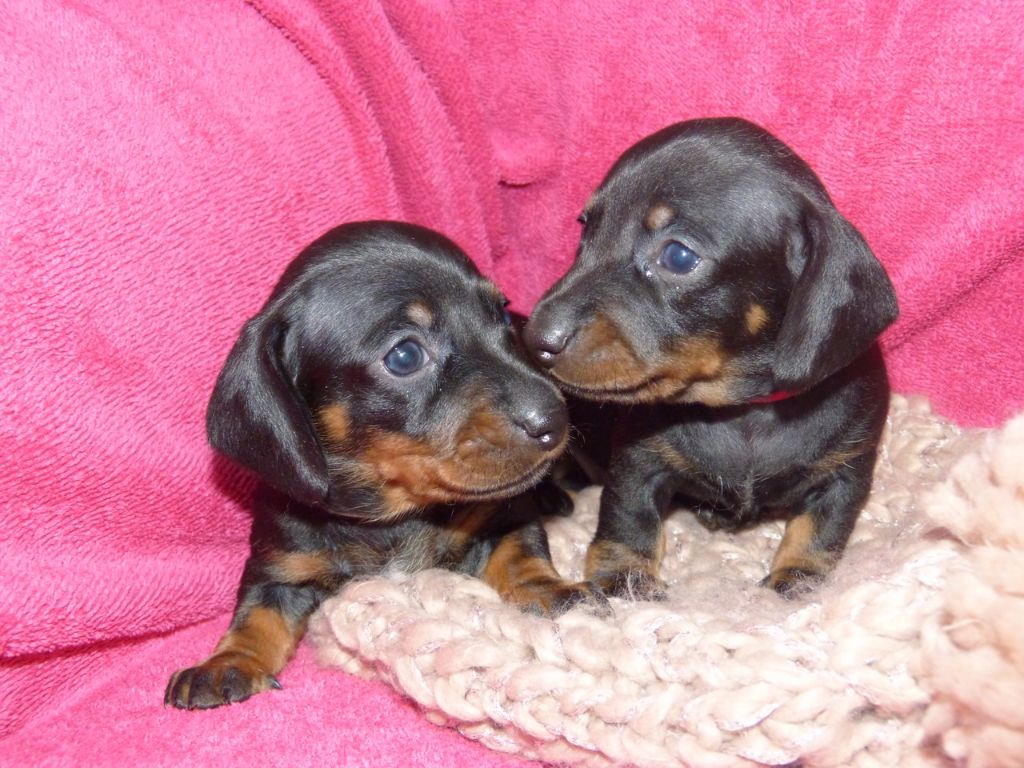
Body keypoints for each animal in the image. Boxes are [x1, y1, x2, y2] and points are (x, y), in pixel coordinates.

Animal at [166, 221, 598, 708]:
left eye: (503, 317)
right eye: (404, 356)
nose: (556, 419)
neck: (391, 514)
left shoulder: (505, 513)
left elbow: (521, 551)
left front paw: (551, 589)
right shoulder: (280, 565)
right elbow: (255, 615)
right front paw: (227, 662)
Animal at [524, 118, 901, 602]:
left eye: (678, 255)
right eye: (586, 230)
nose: (535, 339)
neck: (742, 410)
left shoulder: (846, 470)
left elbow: (819, 529)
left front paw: (798, 579)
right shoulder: (638, 460)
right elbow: (628, 518)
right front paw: (626, 578)